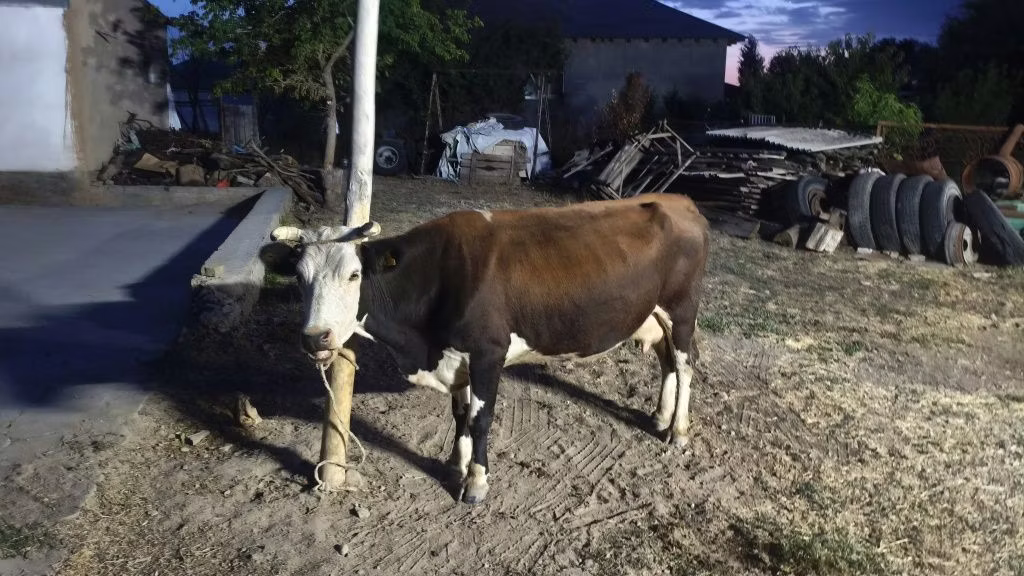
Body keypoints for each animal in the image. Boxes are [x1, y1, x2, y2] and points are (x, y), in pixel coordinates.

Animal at [263, 193, 710, 504]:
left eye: (354, 274)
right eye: (299, 277)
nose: (315, 337)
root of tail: (680, 200)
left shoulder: (487, 353)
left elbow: (480, 419)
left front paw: (476, 482)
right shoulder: (455, 357)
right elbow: (460, 413)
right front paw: (455, 462)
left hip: (681, 310)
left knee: (686, 366)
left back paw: (679, 430)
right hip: (653, 314)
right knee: (667, 363)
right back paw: (659, 416)